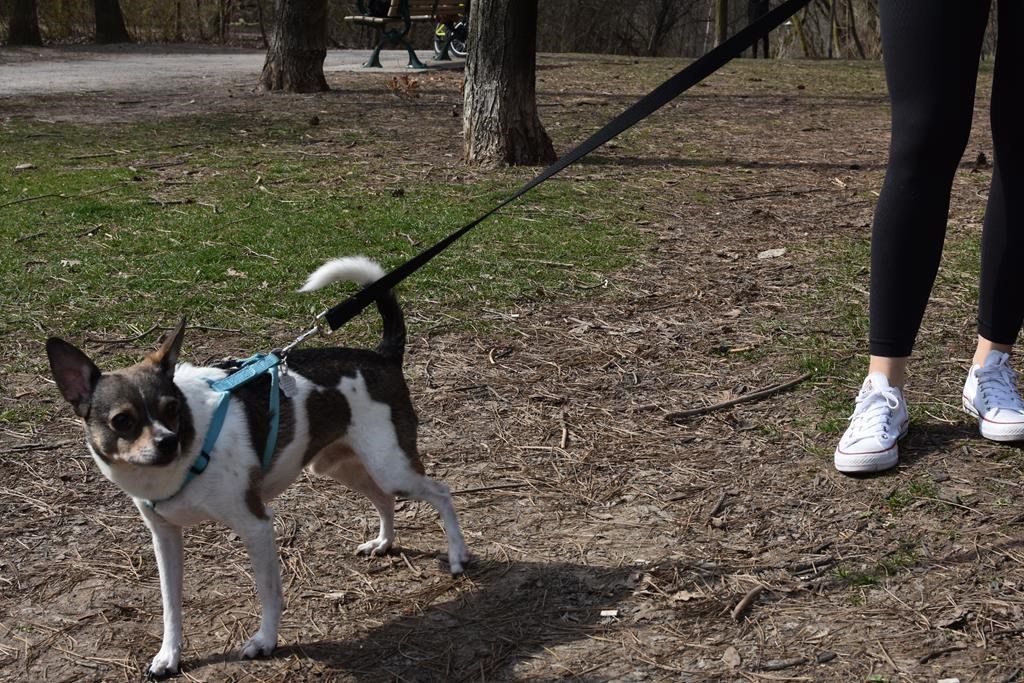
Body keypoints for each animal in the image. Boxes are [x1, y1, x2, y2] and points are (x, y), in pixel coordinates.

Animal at [46, 256, 469, 678]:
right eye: (122, 421)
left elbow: (268, 591)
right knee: (384, 499)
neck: (185, 457)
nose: (168, 441)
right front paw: (169, 655)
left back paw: (457, 554)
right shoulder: (165, 538)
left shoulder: (256, 525)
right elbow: (170, 605)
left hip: (391, 465)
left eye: (172, 409)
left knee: (440, 492)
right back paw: (384, 542)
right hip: (339, 466)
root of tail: (382, 355)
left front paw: (266, 640)